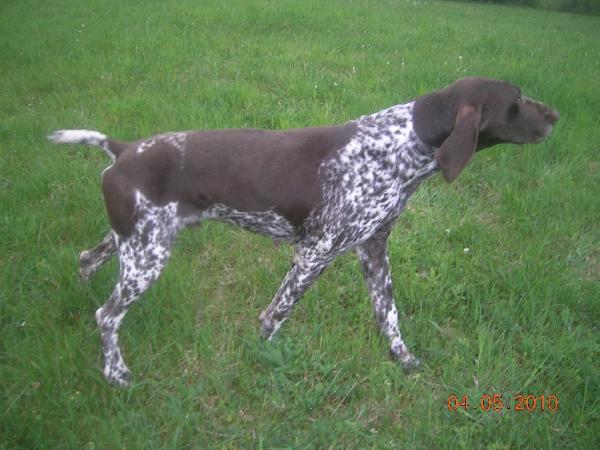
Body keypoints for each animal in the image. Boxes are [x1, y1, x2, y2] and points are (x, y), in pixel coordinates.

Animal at [47, 77, 556, 386]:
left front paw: (405, 361)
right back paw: (115, 371)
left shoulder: (374, 251)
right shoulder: (315, 254)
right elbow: (275, 316)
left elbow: (389, 317)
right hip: (147, 256)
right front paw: (266, 358)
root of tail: (124, 148)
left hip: (133, 242)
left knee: (85, 262)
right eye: (515, 104)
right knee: (107, 315)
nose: (555, 116)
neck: (401, 145)